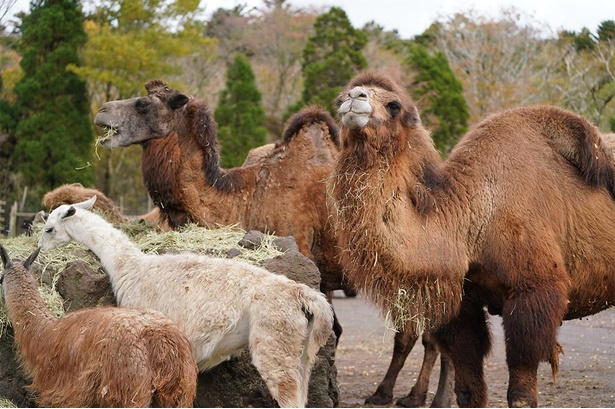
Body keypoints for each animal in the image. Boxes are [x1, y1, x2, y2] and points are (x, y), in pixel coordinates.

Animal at [0, 244, 196, 406]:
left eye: (0, 277)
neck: (44, 332)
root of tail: (163, 340)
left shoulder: (58, 392)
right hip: (179, 393)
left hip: (127, 391)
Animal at [37, 196, 336, 406]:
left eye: (49, 228)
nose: (38, 247)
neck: (131, 268)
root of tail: (305, 296)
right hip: (302, 352)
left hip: (274, 339)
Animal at [330, 71, 615, 406]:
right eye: (340, 98)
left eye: (394, 105)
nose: (354, 98)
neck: (476, 214)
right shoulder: (463, 305)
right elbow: (468, 389)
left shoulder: (535, 290)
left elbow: (521, 392)